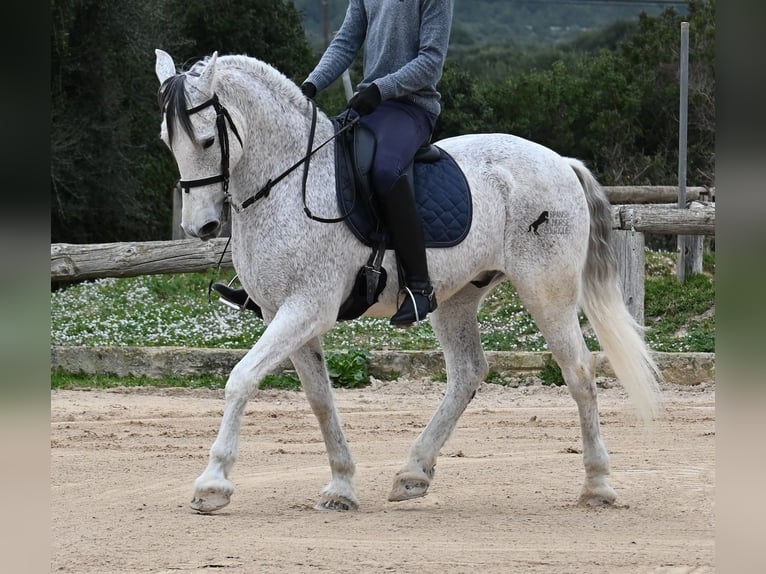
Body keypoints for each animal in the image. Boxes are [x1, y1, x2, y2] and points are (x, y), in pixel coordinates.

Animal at [154, 49, 660, 516]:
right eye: (167, 140)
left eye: (206, 139)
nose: (201, 227)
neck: (287, 184)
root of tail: (560, 161)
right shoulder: (286, 314)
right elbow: (320, 399)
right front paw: (341, 486)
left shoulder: (307, 307)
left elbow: (241, 378)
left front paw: (213, 484)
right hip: (455, 298)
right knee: (468, 372)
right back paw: (413, 473)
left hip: (547, 291)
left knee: (579, 371)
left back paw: (597, 485)